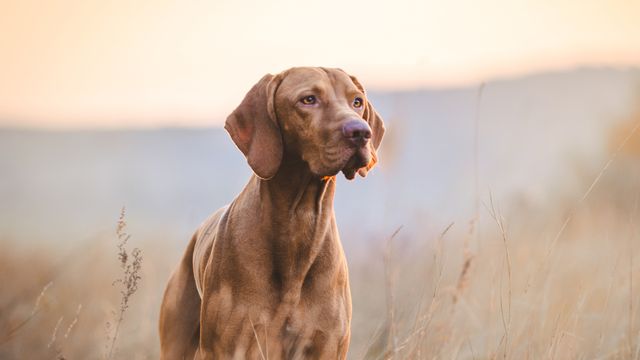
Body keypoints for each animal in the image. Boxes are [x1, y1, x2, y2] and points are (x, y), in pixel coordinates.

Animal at [159, 67, 384, 358]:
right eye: (308, 99)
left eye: (357, 102)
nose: (360, 132)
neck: (298, 221)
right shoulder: (230, 347)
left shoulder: (327, 345)